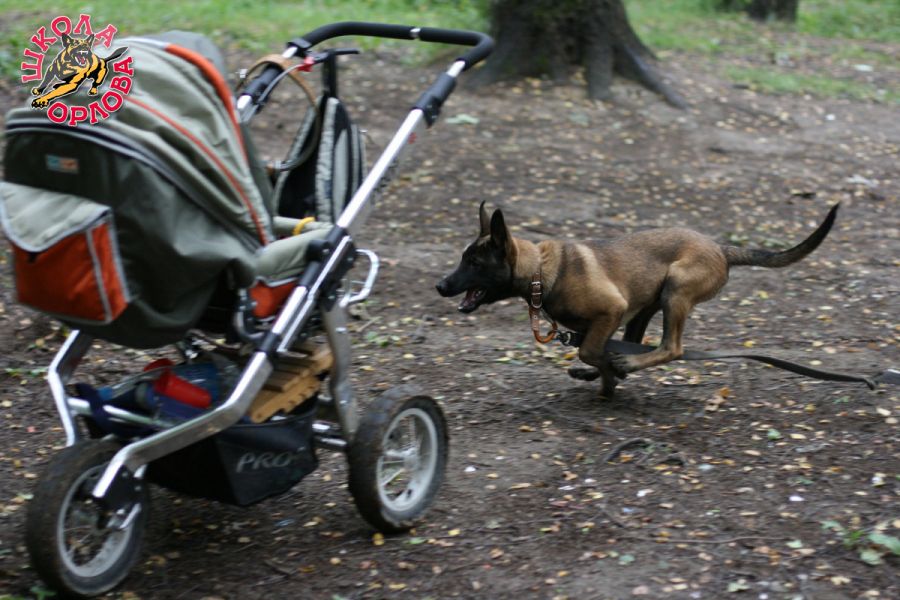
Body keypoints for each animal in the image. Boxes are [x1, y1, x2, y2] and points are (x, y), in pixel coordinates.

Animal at [436, 202, 839, 398]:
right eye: (463, 258)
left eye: (473, 263)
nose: (440, 286)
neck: (541, 271)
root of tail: (721, 249)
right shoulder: (606, 319)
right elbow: (594, 351)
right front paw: (605, 378)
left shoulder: (610, 310)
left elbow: (590, 350)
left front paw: (609, 376)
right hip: (649, 303)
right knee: (638, 343)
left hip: (675, 289)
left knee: (670, 348)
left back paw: (623, 365)